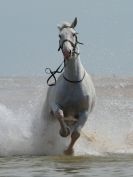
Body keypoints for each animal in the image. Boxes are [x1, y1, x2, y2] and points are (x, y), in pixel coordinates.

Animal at [45, 17, 95, 154]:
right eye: (60, 35)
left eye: (74, 34)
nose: (67, 51)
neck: (73, 81)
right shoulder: (55, 105)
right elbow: (59, 114)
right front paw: (64, 131)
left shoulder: (84, 113)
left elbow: (76, 133)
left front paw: (69, 151)